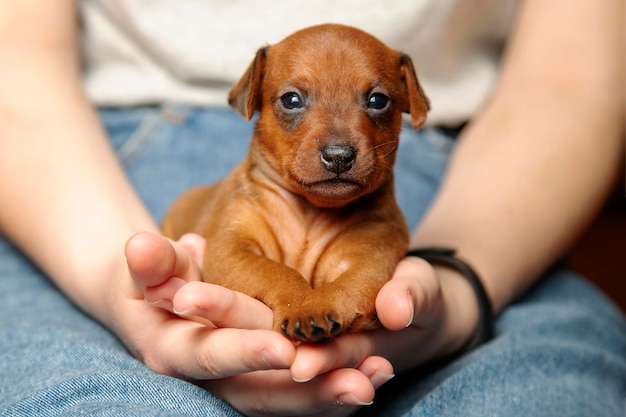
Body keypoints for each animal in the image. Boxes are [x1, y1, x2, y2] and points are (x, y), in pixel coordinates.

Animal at [160, 22, 428, 342]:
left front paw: (317, 306)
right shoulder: (230, 249)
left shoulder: (371, 255)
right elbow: (277, 271)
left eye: (378, 100)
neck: (309, 214)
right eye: (291, 100)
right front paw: (297, 302)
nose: (338, 156)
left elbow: (349, 282)